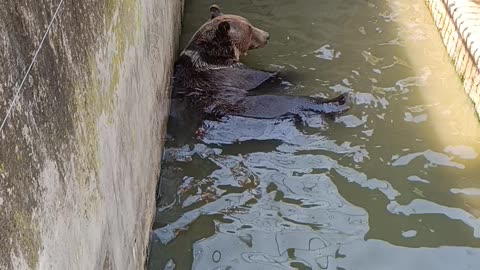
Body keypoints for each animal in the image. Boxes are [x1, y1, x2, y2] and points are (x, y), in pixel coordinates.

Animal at [171, 5, 346, 132]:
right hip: (268, 105)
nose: (267, 35)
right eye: (249, 29)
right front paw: (300, 72)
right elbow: (268, 76)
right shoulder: (234, 73)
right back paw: (339, 99)